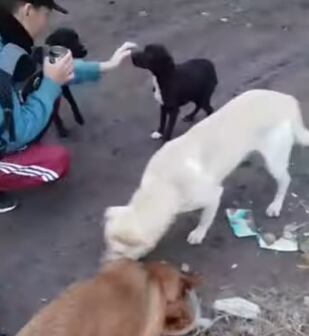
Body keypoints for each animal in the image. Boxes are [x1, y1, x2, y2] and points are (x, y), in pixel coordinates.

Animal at [104, 90, 309, 260]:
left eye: (119, 252)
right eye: (108, 246)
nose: (104, 267)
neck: (162, 185)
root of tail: (285, 99)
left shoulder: (213, 195)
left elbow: (205, 218)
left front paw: (198, 233)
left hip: (274, 158)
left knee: (285, 180)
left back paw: (276, 204)